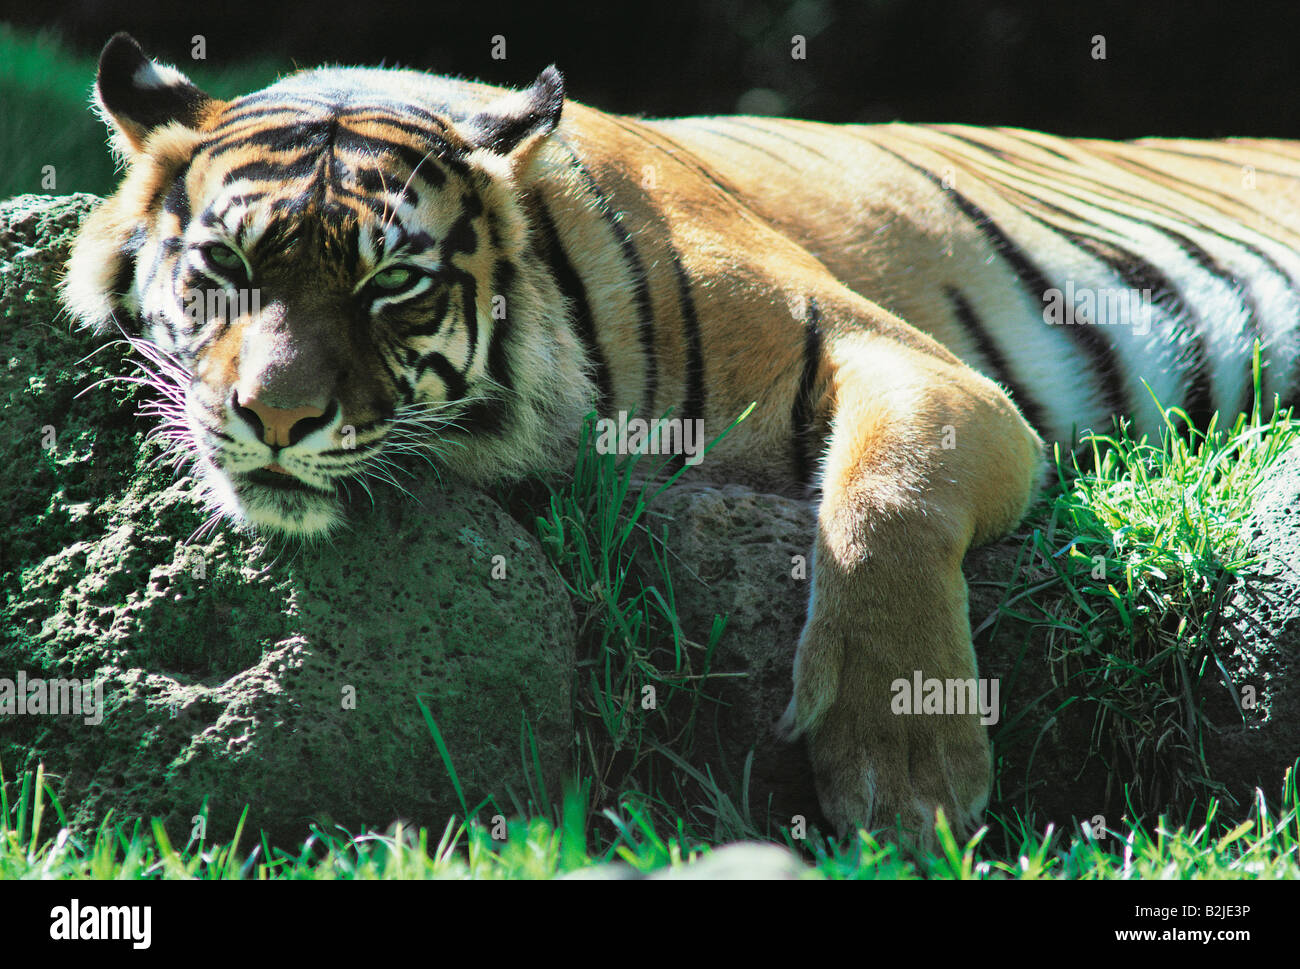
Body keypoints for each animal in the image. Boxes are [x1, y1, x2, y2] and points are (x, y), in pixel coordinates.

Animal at [62, 32, 1300, 843]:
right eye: (224, 266)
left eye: (393, 286)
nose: (275, 416)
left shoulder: (919, 366)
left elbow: (886, 495)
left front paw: (906, 776)